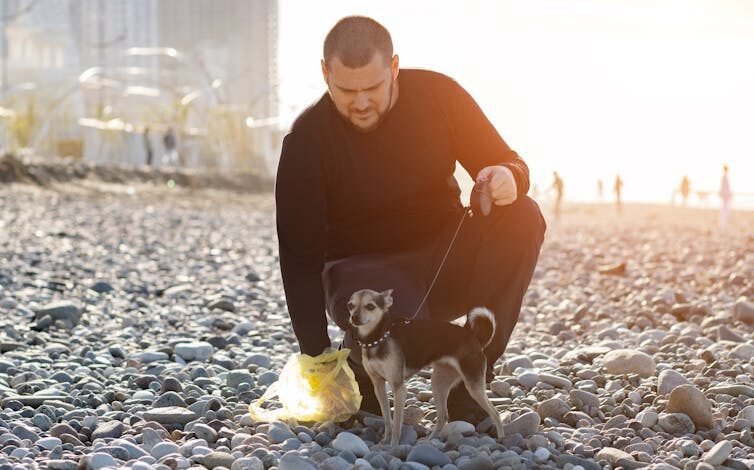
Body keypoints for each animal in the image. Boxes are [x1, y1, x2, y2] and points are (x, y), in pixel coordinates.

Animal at [348, 288, 506, 446]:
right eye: (350, 305)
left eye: (370, 306)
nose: (354, 317)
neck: (377, 338)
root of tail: (475, 338)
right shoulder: (378, 385)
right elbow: (387, 419)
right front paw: (385, 441)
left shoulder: (398, 387)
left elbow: (397, 421)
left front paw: (393, 445)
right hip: (439, 382)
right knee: (443, 416)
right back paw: (430, 440)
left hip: (473, 385)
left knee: (495, 412)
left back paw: (501, 437)